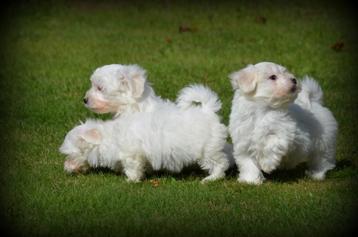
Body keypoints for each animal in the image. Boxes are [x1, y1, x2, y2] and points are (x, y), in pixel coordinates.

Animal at [59, 84, 229, 182]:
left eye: (69, 154)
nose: (65, 168)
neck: (107, 137)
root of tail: (207, 111)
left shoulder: (132, 154)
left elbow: (132, 167)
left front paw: (131, 180)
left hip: (208, 150)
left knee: (220, 163)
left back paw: (211, 178)